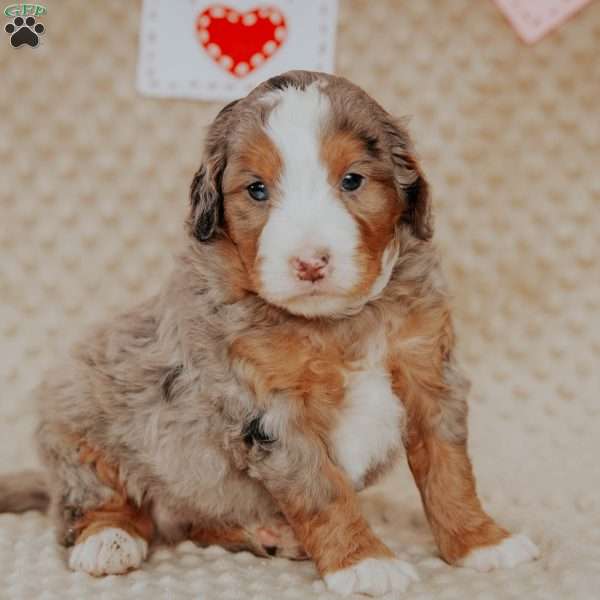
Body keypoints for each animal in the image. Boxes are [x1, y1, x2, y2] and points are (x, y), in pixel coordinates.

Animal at [0, 70, 540, 596]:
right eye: (257, 190)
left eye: (352, 180)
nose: (310, 262)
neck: (340, 322)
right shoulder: (269, 409)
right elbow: (323, 490)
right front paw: (364, 562)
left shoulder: (428, 371)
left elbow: (450, 469)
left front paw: (481, 541)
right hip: (78, 412)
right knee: (95, 496)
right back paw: (108, 540)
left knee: (196, 521)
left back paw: (266, 532)